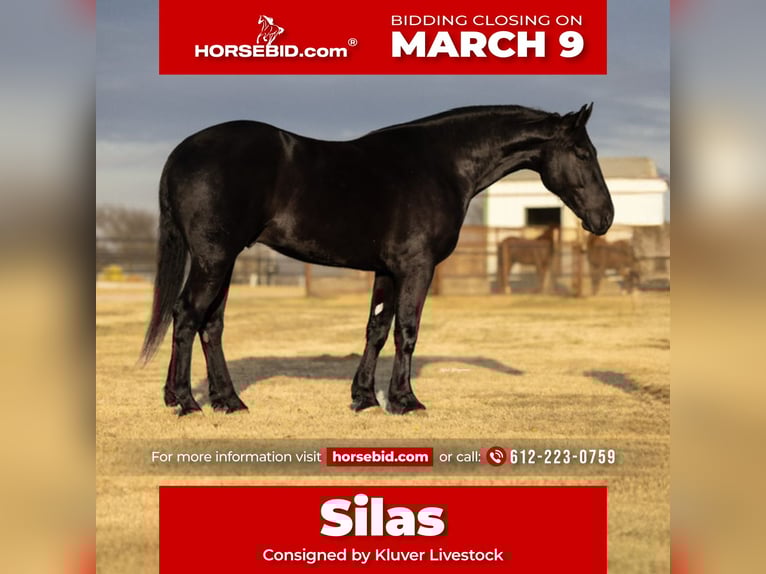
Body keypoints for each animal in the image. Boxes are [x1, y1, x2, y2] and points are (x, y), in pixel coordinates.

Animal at [140, 104, 614, 416]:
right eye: (584, 154)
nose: (605, 217)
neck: (441, 164)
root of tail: (182, 153)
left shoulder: (386, 269)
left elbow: (377, 329)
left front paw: (364, 398)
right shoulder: (417, 266)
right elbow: (407, 331)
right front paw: (406, 401)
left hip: (224, 259)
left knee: (211, 324)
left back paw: (228, 401)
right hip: (214, 258)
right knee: (187, 316)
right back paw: (185, 401)